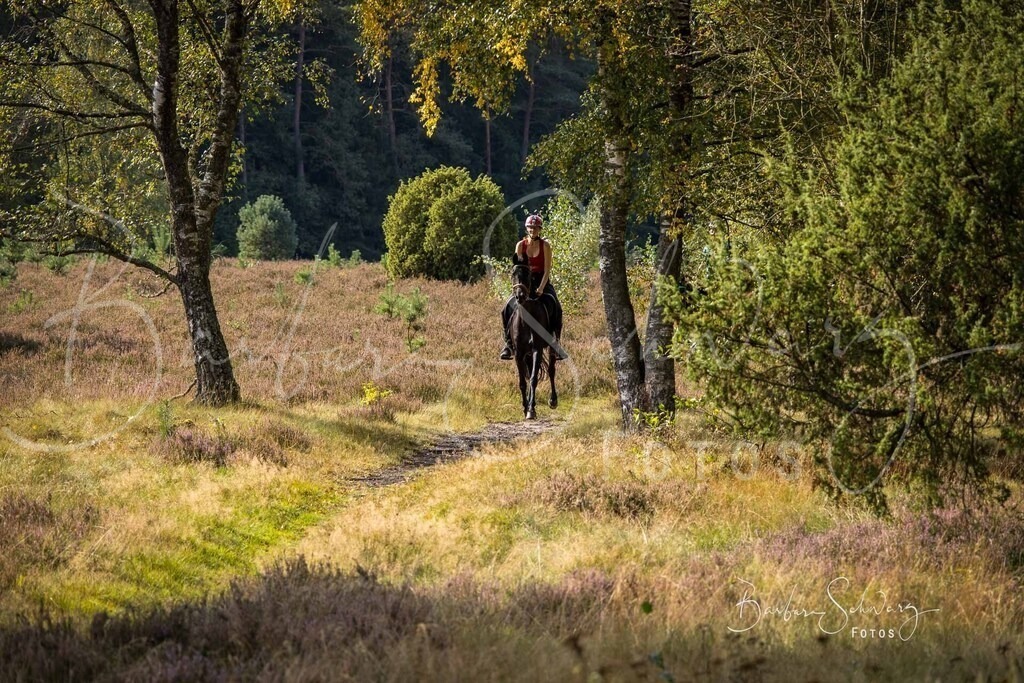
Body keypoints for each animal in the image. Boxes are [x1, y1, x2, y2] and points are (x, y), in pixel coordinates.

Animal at [508, 254, 562, 419]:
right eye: (512, 274)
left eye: (528, 274)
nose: (519, 296)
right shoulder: (519, 353)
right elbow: (522, 381)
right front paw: (526, 407)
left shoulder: (537, 349)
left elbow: (533, 379)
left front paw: (531, 410)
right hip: (527, 354)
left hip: (551, 346)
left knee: (551, 370)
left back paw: (552, 400)